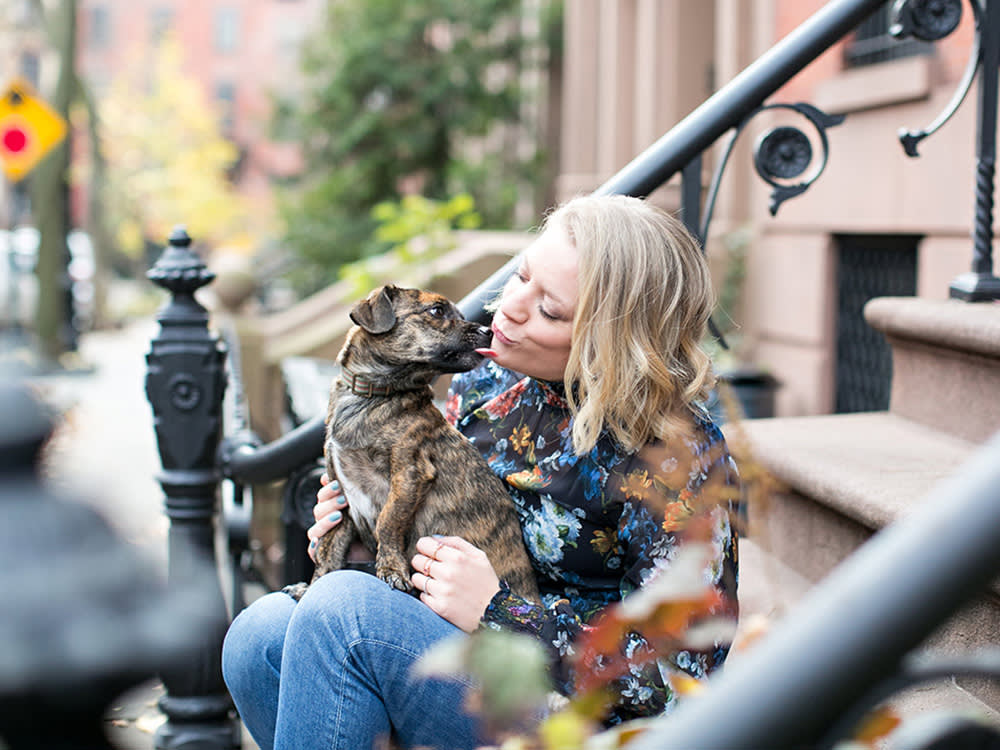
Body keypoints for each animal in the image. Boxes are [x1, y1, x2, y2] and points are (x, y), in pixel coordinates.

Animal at [286, 282, 540, 604]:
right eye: (437, 311)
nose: (488, 331)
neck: (374, 395)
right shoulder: (338, 491)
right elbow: (329, 546)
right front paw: (313, 586)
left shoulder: (410, 473)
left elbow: (388, 521)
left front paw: (391, 570)